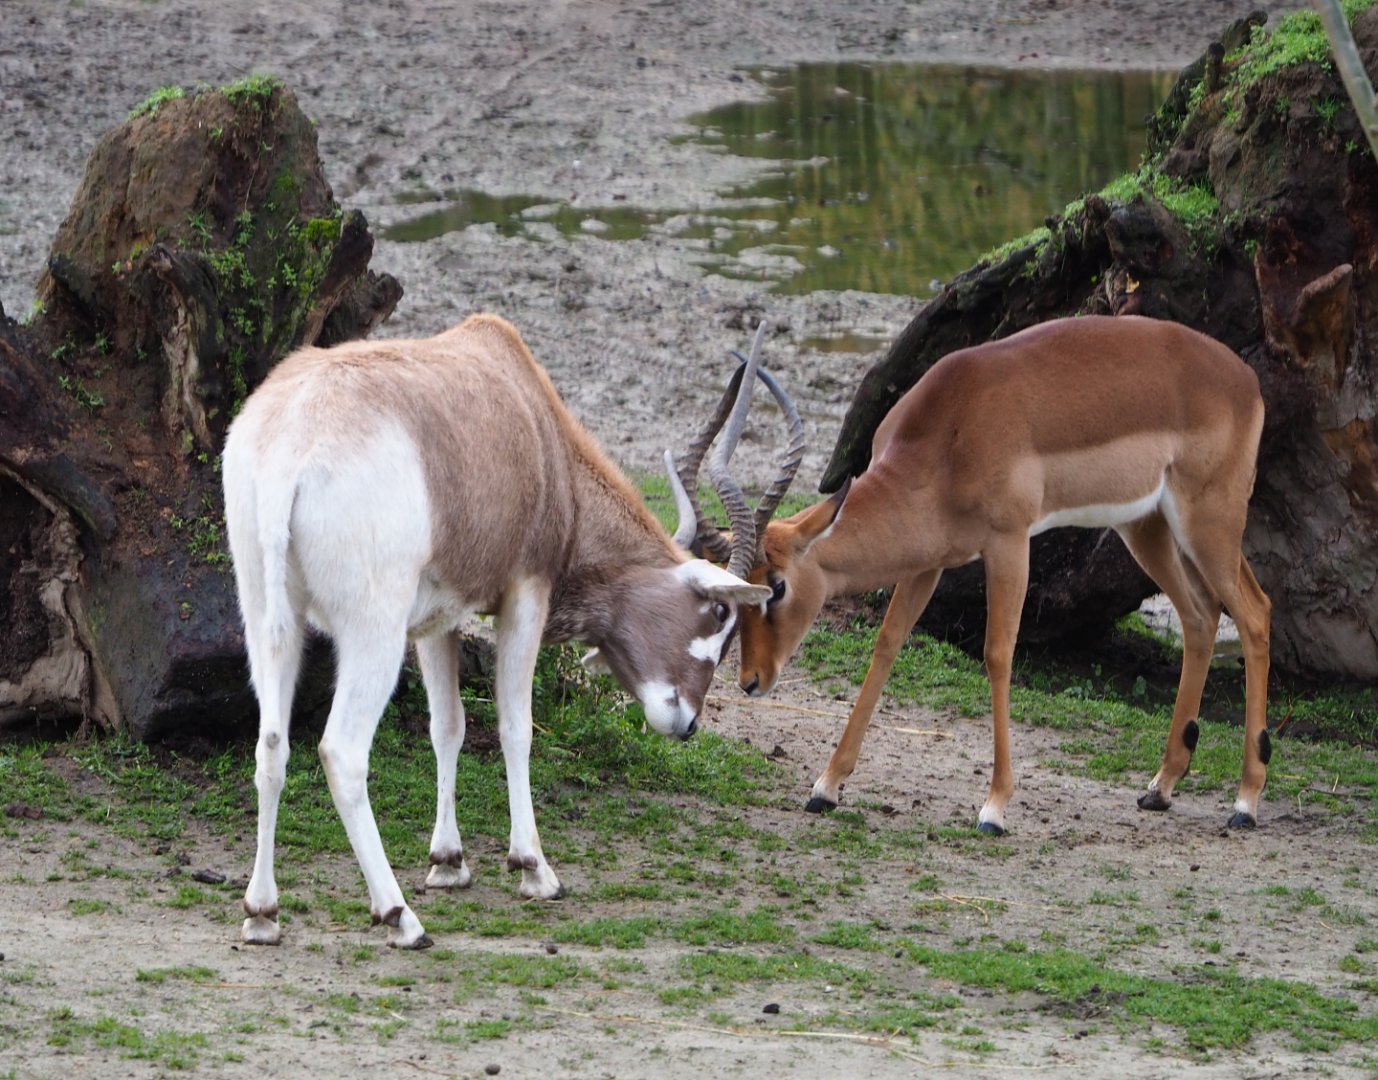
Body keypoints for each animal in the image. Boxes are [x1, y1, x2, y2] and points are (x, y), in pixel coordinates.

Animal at [222, 313, 777, 949]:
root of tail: (291, 444)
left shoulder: (438, 619)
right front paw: (534, 868)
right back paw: (399, 916)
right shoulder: (525, 594)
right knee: (341, 751)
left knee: (271, 743)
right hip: (373, 632)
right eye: (720, 615)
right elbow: (516, 727)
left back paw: (262, 912)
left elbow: (448, 727)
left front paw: (448, 862)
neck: (535, 419)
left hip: (268, 616)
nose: (686, 724)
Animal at [722, 315, 1273, 834]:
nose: (751, 680)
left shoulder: (1009, 542)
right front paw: (826, 786)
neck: (950, 431)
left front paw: (994, 808)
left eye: (777, 587)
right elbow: (887, 644)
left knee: (1255, 613)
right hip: (1146, 526)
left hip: (1209, 521)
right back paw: (1160, 787)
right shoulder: (929, 560)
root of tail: (1244, 378)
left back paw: (1245, 803)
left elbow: (998, 653)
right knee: (1200, 616)